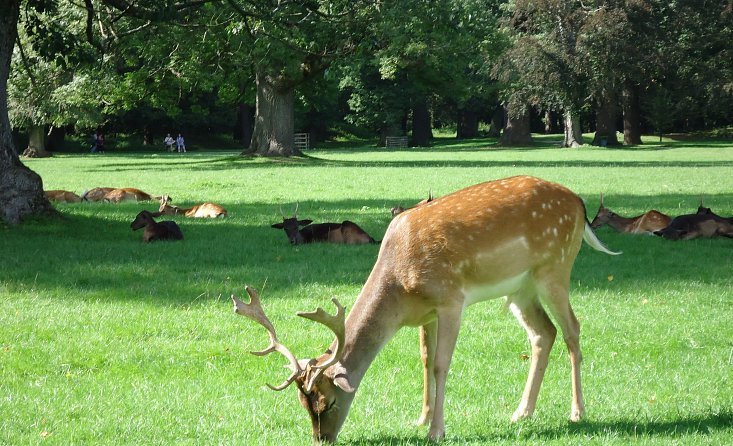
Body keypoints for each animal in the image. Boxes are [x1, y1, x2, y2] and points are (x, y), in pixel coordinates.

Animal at [233, 176, 616, 444]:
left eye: (327, 402)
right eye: (302, 405)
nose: (322, 439)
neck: (401, 288)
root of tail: (579, 205)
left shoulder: (450, 300)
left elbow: (441, 364)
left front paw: (437, 430)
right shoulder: (425, 314)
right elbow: (424, 360)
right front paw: (420, 419)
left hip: (555, 267)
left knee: (572, 329)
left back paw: (577, 412)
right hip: (520, 289)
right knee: (543, 333)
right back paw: (521, 412)